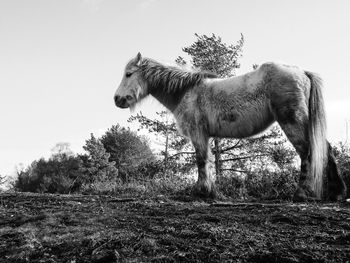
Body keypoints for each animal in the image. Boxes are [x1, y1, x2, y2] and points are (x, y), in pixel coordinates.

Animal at [113, 53, 346, 202]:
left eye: (128, 74)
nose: (117, 99)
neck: (186, 91)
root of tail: (302, 72)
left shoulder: (198, 134)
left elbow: (201, 161)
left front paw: (201, 191)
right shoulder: (205, 136)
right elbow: (207, 162)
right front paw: (209, 191)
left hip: (293, 122)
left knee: (308, 153)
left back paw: (301, 194)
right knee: (324, 150)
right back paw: (336, 193)